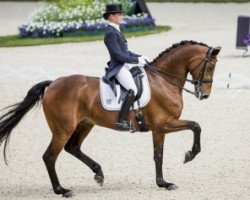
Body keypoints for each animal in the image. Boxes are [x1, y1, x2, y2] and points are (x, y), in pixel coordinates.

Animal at [0, 40, 221, 197]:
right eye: (210, 66)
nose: (204, 94)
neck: (163, 81)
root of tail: (52, 83)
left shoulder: (160, 128)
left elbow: (159, 154)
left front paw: (163, 183)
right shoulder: (163, 124)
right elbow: (195, 126)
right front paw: (189, 156)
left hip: (84, 124)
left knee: (73, 147)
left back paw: (98, 173)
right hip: (63, 129)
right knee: (50, 156)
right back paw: (62, 190)